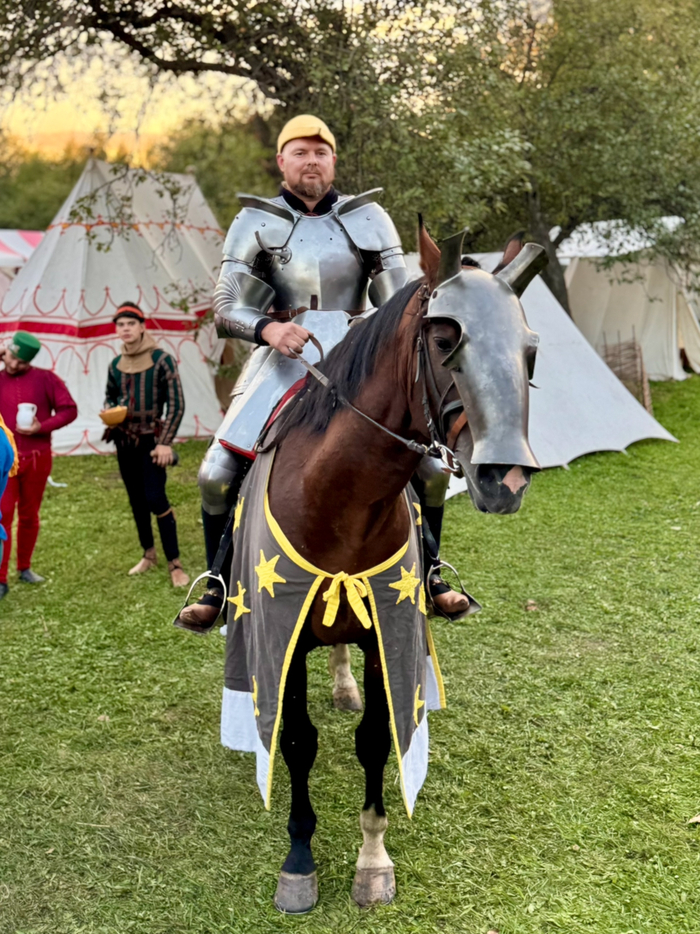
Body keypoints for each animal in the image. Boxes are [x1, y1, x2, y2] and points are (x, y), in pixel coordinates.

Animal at [222, 224, 546, 912]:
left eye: (529, 349)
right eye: (445, 340)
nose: (504, 479)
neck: (337, 499)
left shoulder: (382, 635)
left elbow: (374, 738)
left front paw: (372, 860)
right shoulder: (285, 636)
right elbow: (298, 742)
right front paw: (299, 863)